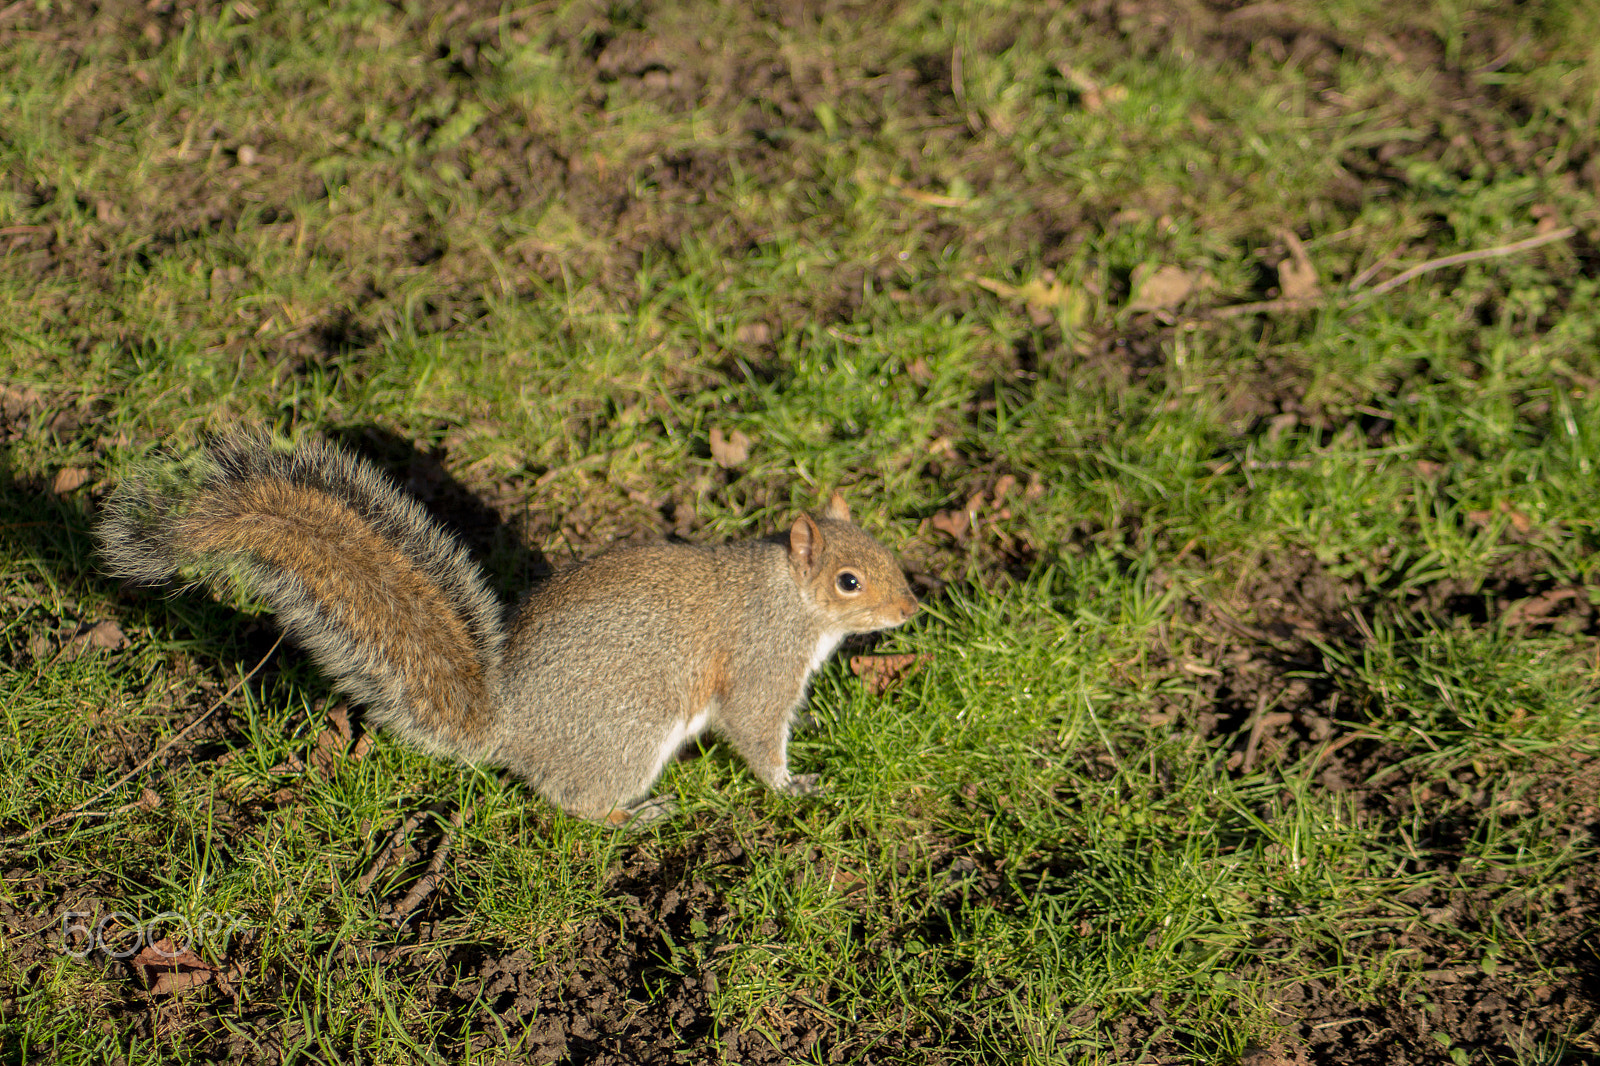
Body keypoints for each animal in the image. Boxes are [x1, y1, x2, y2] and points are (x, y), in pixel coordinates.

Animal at [97, 430, 919, 825]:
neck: (789, 595)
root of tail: (512, 727)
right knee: (571, 800)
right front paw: (794, 787)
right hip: (630, 732)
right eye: (849, 582)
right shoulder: (762, 664)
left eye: (885, 549)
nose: (911, 609)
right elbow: (755, 734)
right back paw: (632, 817)